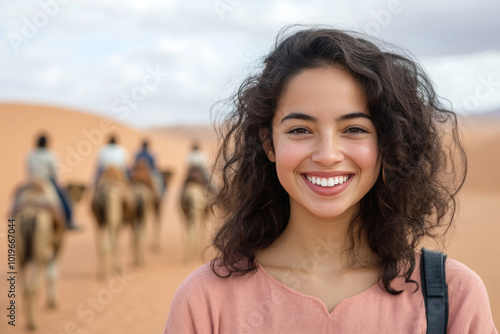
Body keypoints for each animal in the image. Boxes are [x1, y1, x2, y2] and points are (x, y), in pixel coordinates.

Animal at [10, 179, 65, 330]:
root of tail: (29, 213)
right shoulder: (58, 243)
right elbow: (52, 272)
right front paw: (52, 302)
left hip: (20, 256)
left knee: (25, 288)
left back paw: (29, 321)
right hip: (37, 255)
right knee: (34, 287)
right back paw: (33, 324)